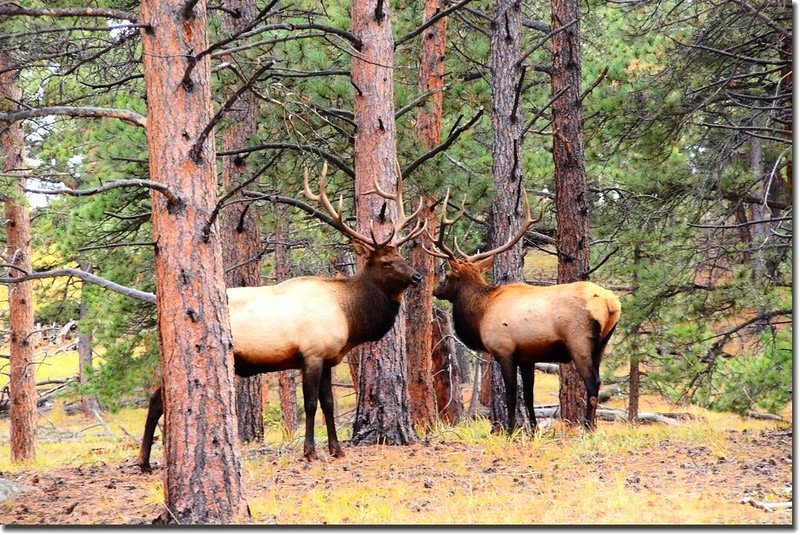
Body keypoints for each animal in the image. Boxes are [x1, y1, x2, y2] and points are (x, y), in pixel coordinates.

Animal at [422, 191, 620, 434]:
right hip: (602, 343)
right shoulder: (528, 356)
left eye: (449, 276)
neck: (481, 313)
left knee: (593, 384)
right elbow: (528, 396)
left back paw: (587, 428)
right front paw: (533, 430)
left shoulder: (504, 351)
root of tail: (611, 303)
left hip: (579, 341)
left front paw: (509, 431)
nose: (435, 289)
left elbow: (510, 396)